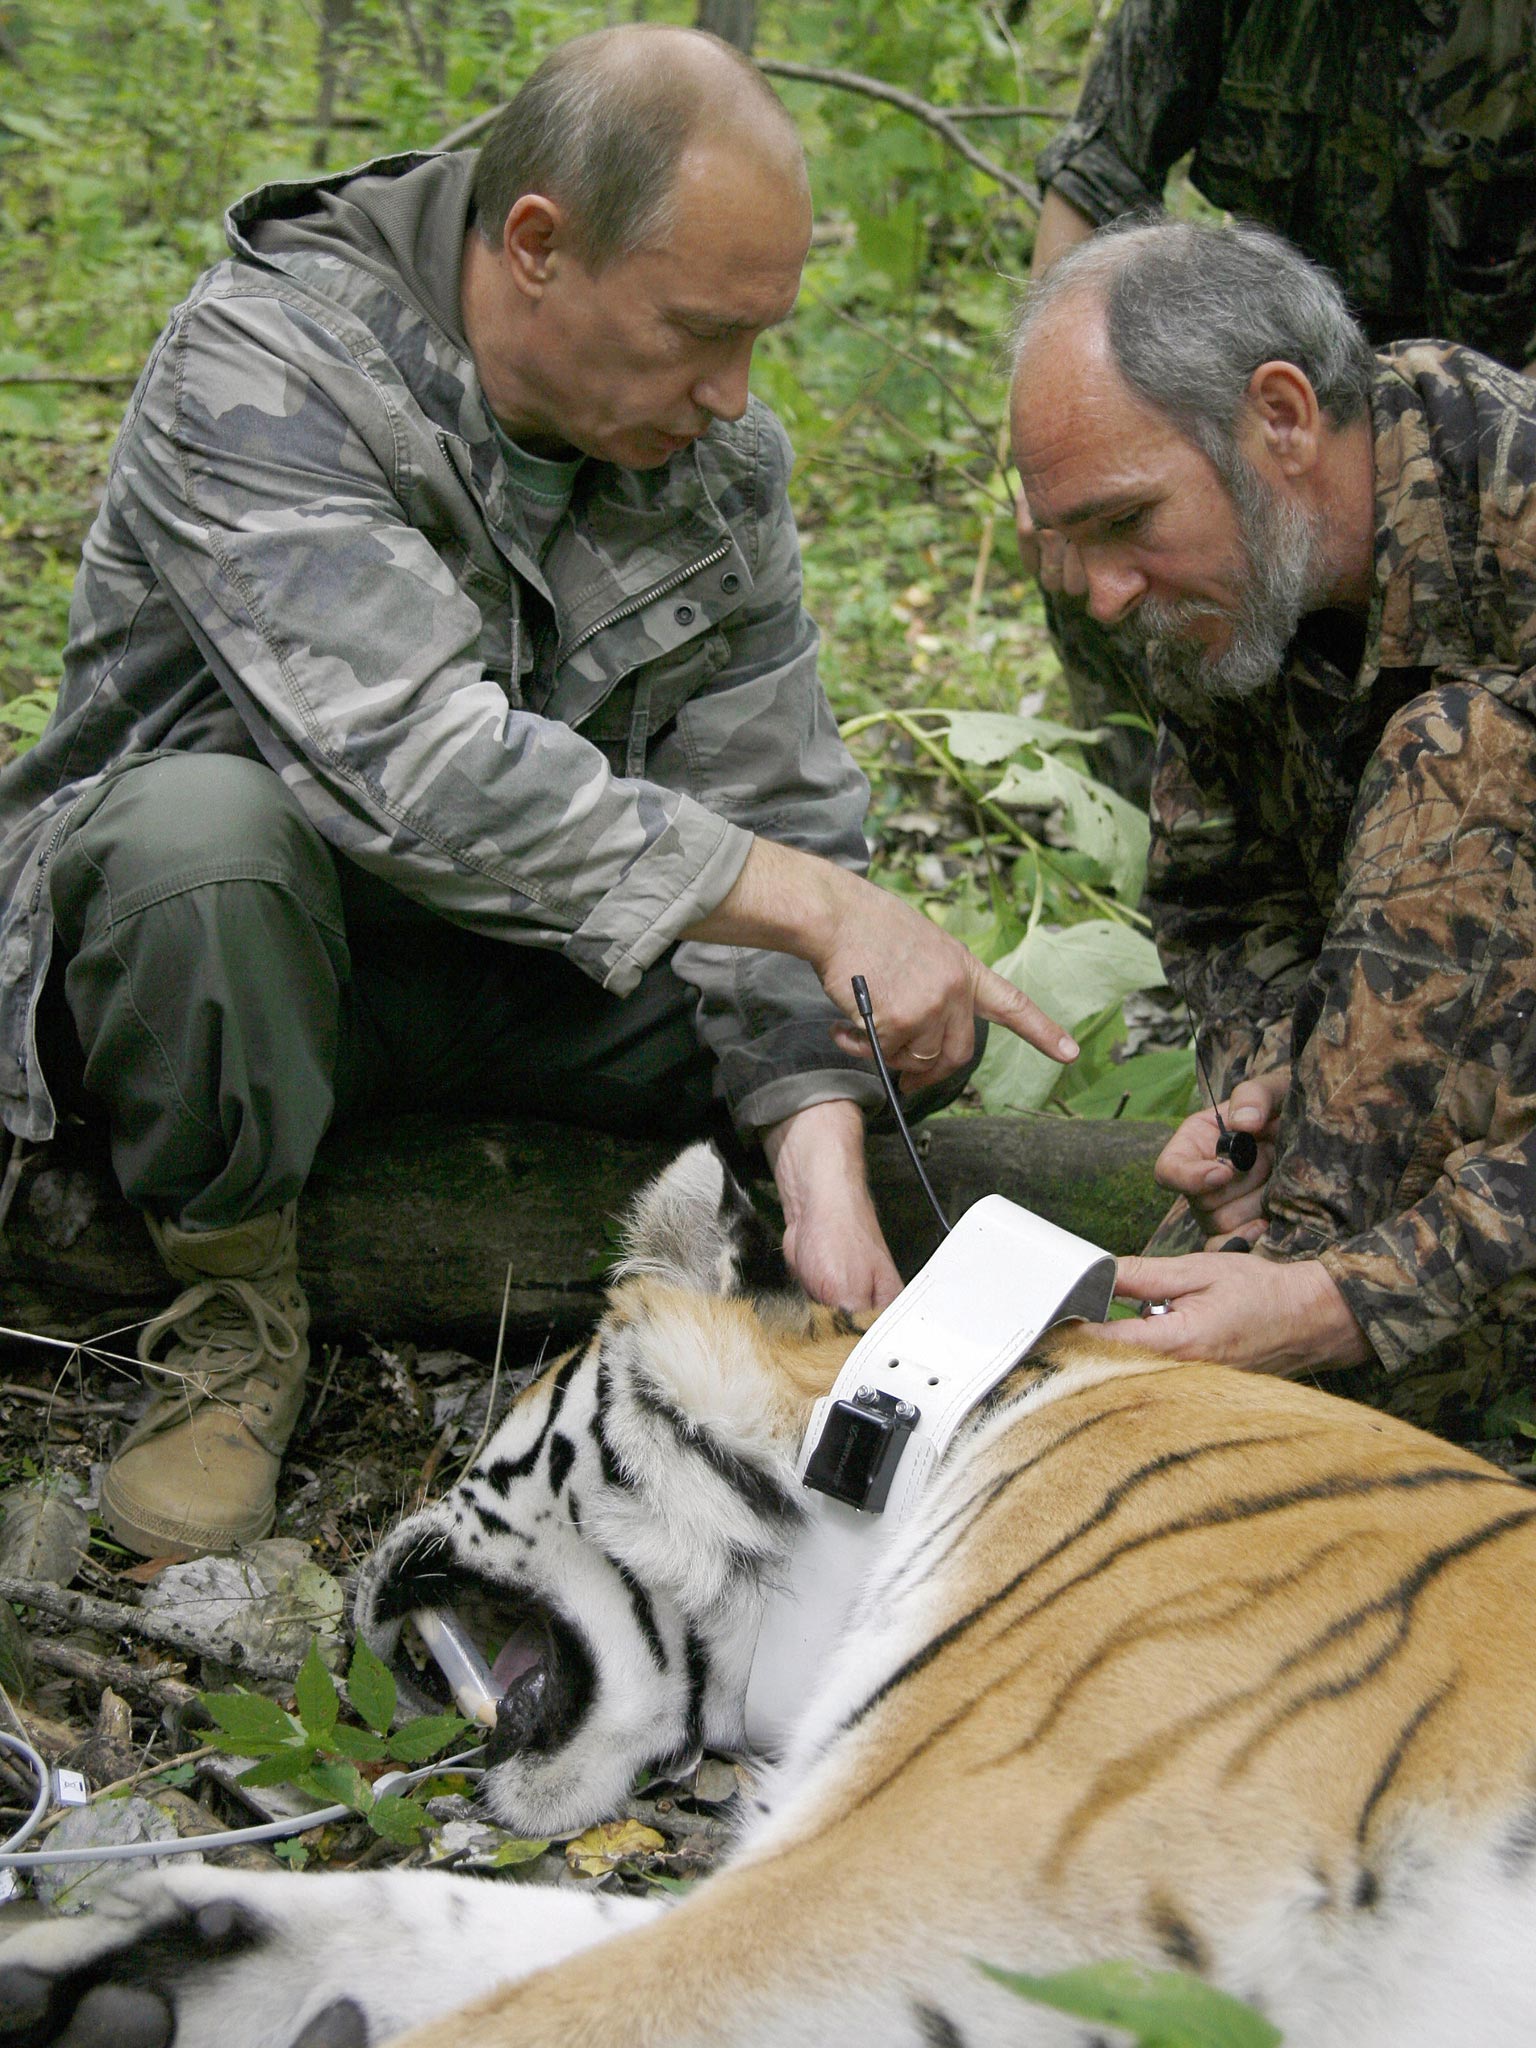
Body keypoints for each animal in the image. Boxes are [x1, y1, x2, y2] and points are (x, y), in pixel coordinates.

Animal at [9, 1138, 1536, 2048]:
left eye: (485, 1441)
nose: (358, 1581)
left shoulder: (964, 1866)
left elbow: (562, 2004)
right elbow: (492, 1930)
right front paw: (127, 1956)